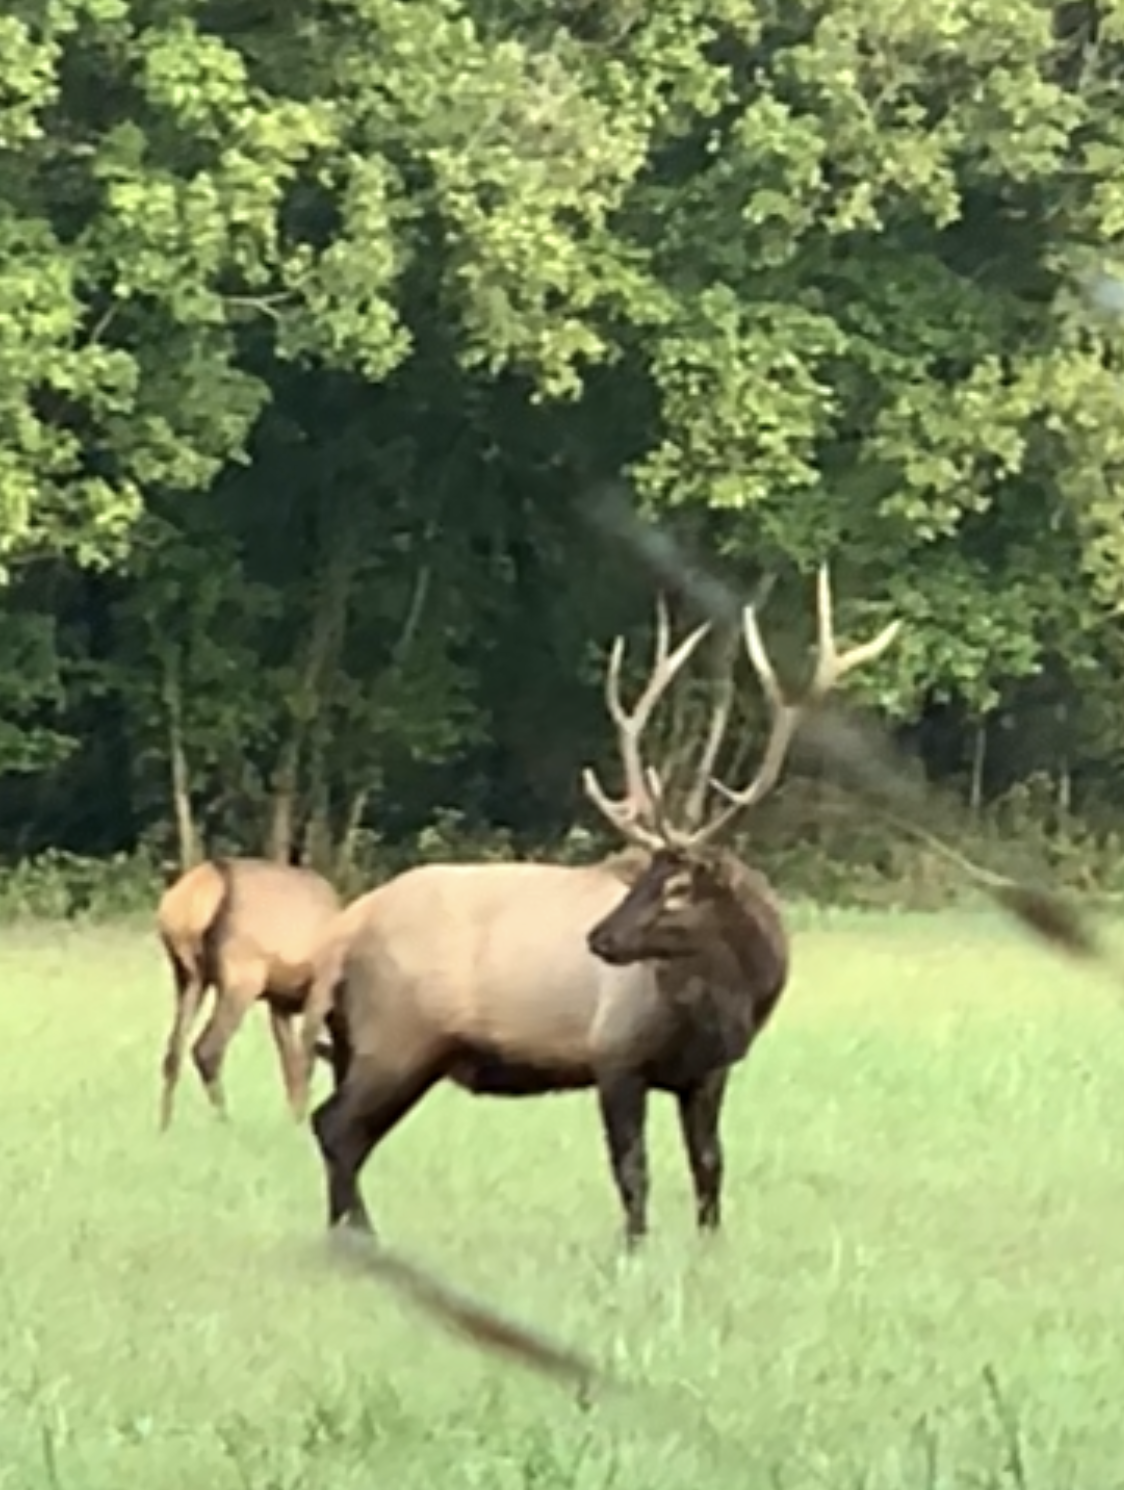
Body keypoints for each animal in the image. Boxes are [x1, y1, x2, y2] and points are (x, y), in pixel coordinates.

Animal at [155, 864, 336, 1126]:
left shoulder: (278, 1004)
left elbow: (290, 1067)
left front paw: (293, 1119)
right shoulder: (319, 992)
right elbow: (305, 1063)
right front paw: (300, 1122)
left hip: (188, 977)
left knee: (173, 1052)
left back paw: (164, 1127)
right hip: (241, 978)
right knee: (206, 1049)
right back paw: (226, 1122)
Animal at [302, 569, 900, 1245]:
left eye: (676, 886)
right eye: (642, 876)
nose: (599, 939)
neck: (731, 998)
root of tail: (343, 930)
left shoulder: (709, 1071)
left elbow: (709, 1164)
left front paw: (710, 1245)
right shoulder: (615, 1054)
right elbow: (632, 1169)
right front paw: (634, 1249)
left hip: (354, 1041)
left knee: (340, 1130)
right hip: (398, 1035)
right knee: (335, 1127)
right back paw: (360, 1233)